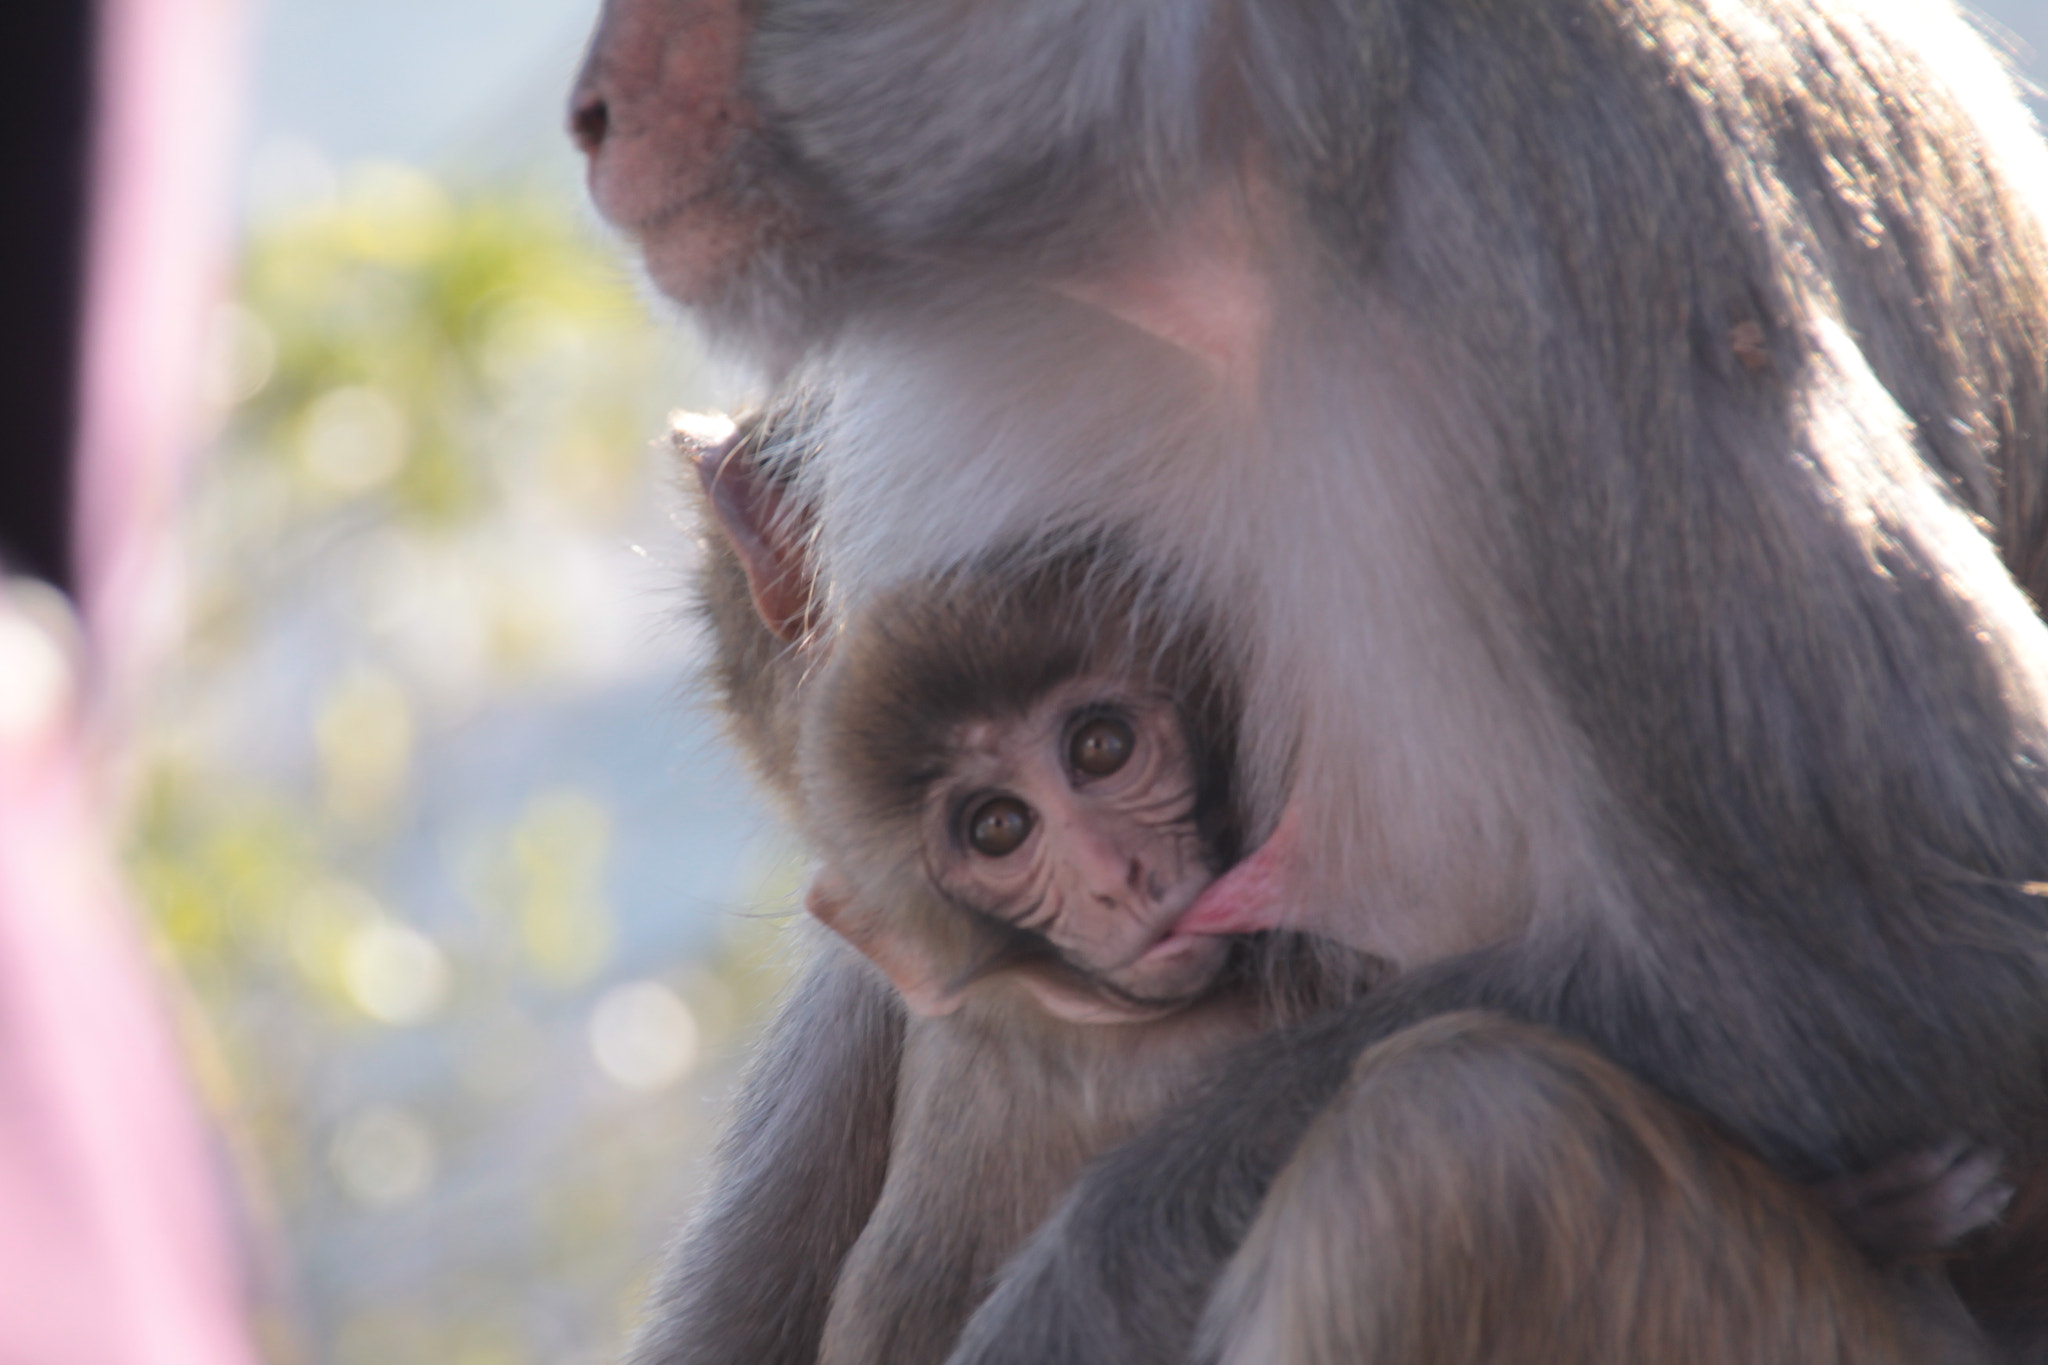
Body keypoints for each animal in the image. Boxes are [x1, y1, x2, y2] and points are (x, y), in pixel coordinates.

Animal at [573, 0, 2048, 1358]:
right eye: (997, 828)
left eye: (1101, 751)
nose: (588, 111)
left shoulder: (1552, 204)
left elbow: (1946, 960)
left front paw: (1071, 1296)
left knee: (1457, 1139)